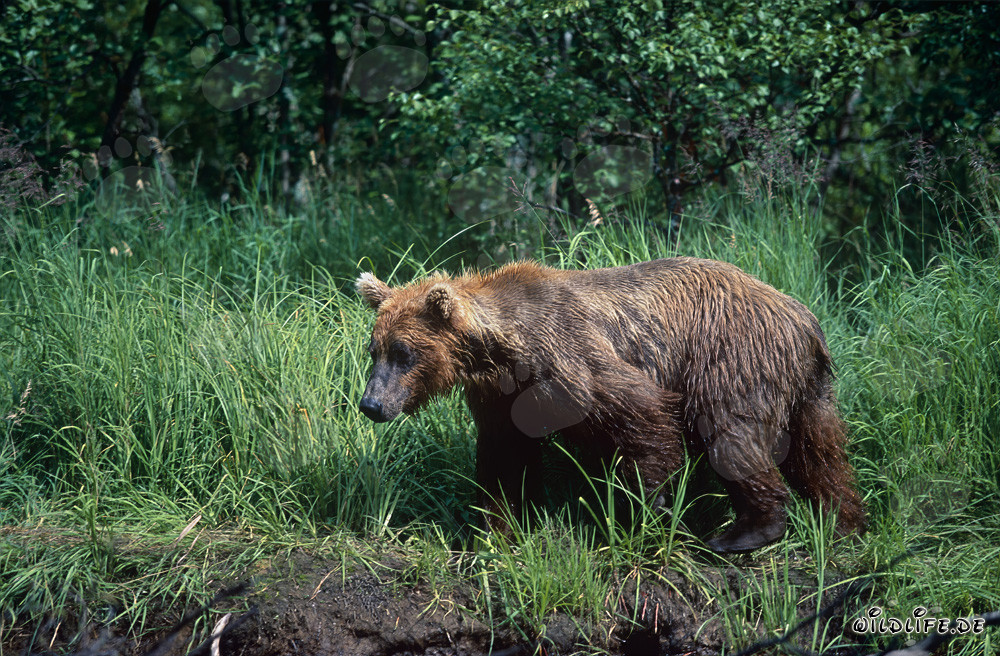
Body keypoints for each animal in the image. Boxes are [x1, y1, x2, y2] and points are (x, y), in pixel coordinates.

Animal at [356, 258, 866, 553]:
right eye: (374, 349)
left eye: (404, 352)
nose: (371, 404)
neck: (502, 348)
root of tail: (803, 317)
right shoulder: (502, 398)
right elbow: (504, 459)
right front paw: (495, 529)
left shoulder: (569, 360)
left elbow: (643, 417)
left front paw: (643, 511)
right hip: (807, 384)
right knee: (819, 450)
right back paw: (842, 521)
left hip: (730, 353)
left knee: (730, 432)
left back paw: (743, 533)